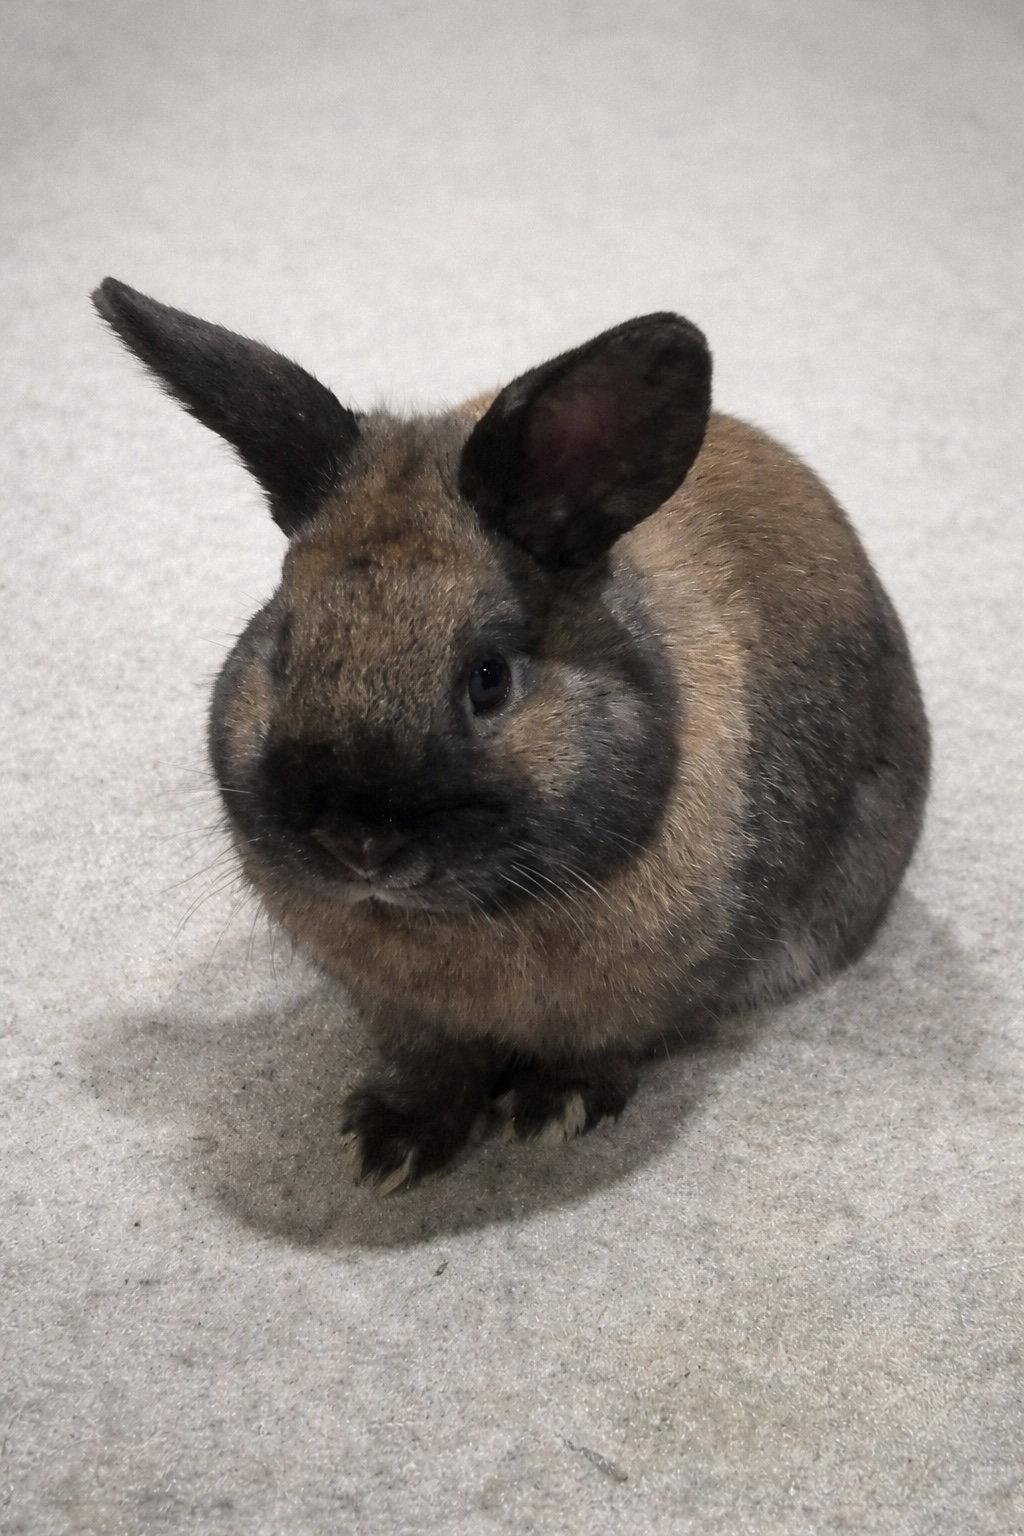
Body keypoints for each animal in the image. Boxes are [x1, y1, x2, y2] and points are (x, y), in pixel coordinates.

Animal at [93, 278, 930, 1191]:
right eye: (281, 648)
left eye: (489, 677)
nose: (358, 844)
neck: (462, 926)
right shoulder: (400, 1016)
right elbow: (431, 1067)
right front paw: (393, 1143)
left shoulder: (638, 1001)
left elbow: (603, 1048)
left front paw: (552, 1109)